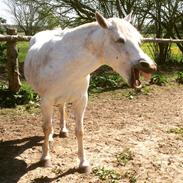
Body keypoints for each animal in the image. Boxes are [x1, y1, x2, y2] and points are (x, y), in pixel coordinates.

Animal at [23, 12, 157, 172]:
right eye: (119, 40)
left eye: (139, 40)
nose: (150, 66)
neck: (66, 63)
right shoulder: (46, 100)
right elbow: (46, 127)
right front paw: (45, 158)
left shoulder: (81, 100)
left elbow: (80, 131)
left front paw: (83, 163)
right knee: (48, 123)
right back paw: (49, 139)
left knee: (61, 107)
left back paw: (63, 130)